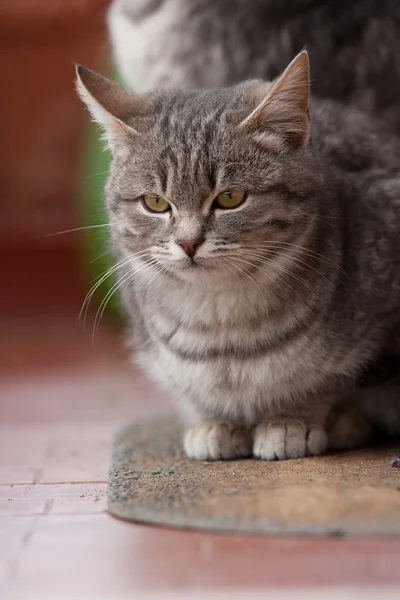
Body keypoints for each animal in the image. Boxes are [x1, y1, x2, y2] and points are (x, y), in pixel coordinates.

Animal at [76, 52, 400, 464]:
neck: (223, 332)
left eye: (230, 198)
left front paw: (292, 420)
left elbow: (328, 383)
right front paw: (215, 422)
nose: (188, 243)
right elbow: (193, 391)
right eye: (155, 203)